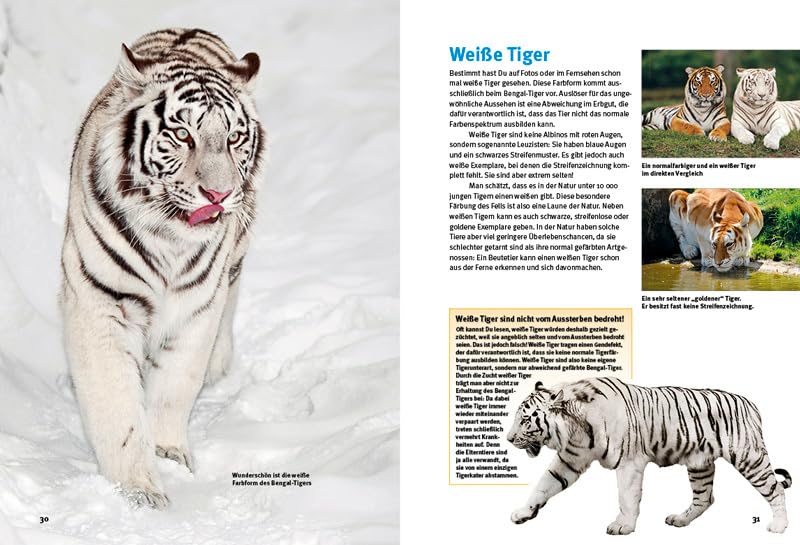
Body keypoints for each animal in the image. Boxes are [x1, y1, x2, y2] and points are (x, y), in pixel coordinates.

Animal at [60, 28, 264, 508]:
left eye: (233, 138)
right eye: (183, 134)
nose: (218, 194)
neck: (169, 238)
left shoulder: (197, 307)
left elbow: (175, 385)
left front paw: (168, 455)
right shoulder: (101, 301)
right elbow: (115, 401)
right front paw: (139, 490)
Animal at [507, 378, 791, 534]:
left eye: (525, 420)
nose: (508, 439)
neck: (574, 429)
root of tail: (751, 404)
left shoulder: (629, 462)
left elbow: (626, 497)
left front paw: (623, 526)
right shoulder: (570, 459)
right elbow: (544, 485)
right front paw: (522, 513)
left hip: (749, 457)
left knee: (775, 488)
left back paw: (779, 525)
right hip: (700, 464)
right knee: (705, 498)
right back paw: (680, 520)